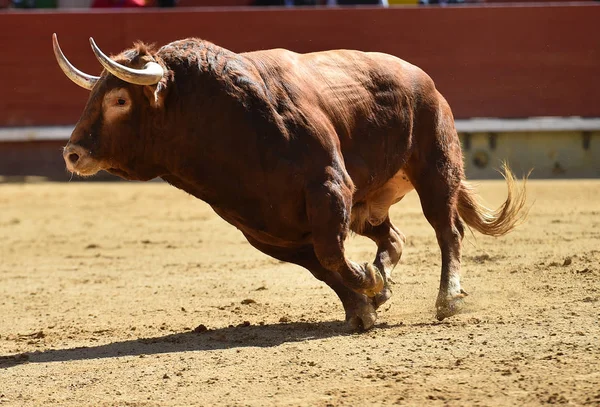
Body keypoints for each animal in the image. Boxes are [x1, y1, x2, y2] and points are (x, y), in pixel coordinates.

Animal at [54, 33, 528, 330]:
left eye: (119, 99)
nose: (72, 153)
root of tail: (421, 78)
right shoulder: (261, 228)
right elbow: (323, 267)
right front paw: (364, 305)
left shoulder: (329, 187)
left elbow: (332, 254)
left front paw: (369, 286)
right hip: (368, 205)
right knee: (393, 238)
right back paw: (384, 280)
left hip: (435, 168)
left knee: (448, 230)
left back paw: (447, 299)